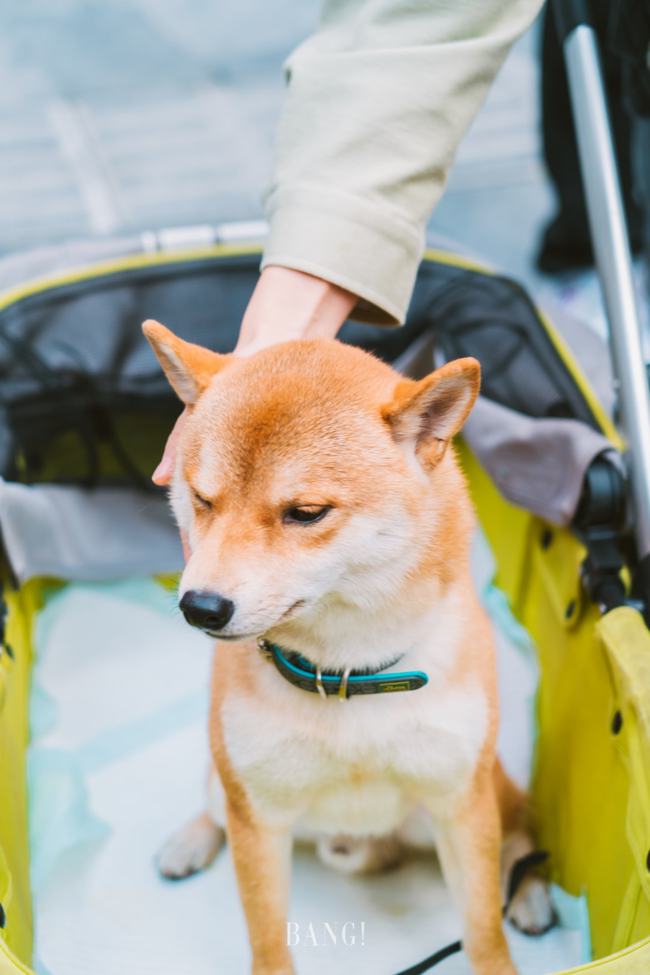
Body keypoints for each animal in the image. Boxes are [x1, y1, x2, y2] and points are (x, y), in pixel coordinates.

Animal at [143, 322, 552, 975]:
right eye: (202, 499)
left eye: (306, 513)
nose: (200, 606)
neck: (346, 675)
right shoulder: (259, 817)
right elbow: (267, 939)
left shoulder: (460, 804)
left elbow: (484, 929)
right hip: (229, 781)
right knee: (212, 803)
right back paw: (191, 839)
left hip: (477, 790)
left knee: (520, 834)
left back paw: (532, 890)